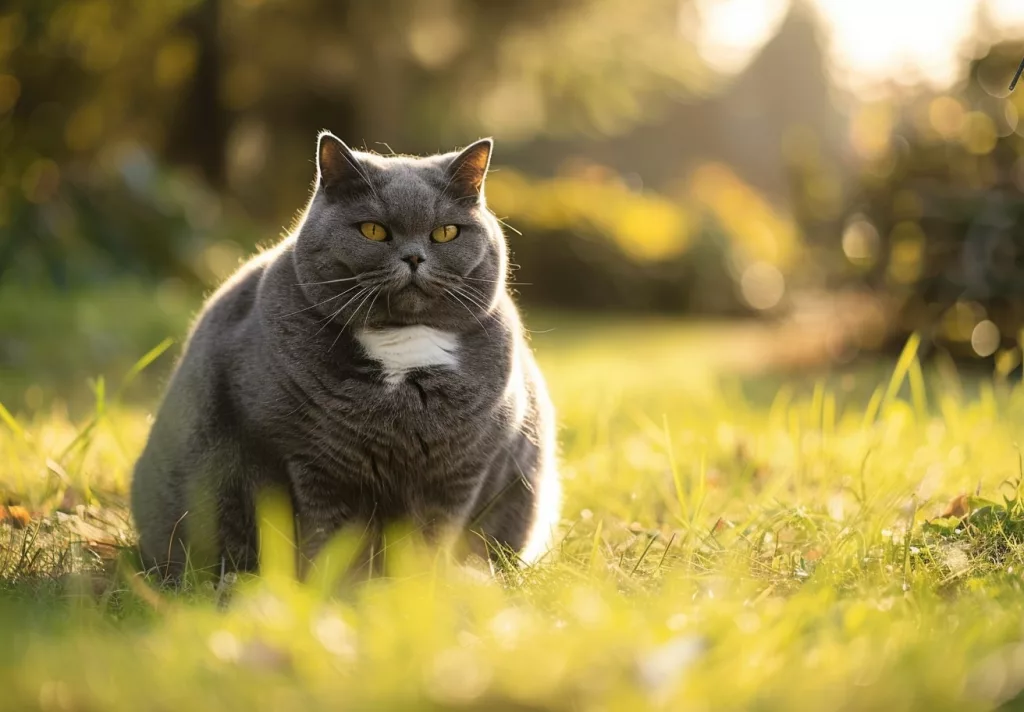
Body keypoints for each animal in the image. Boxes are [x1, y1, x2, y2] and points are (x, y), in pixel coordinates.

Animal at [129, 132, 565, 577]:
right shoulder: (310, 462)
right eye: (373, 230)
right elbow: (333, 539)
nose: (414, 257)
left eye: (445, 233)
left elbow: (430, 539)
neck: (402, 345)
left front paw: (420, 585)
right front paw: (339, 587)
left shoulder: (458, 473)